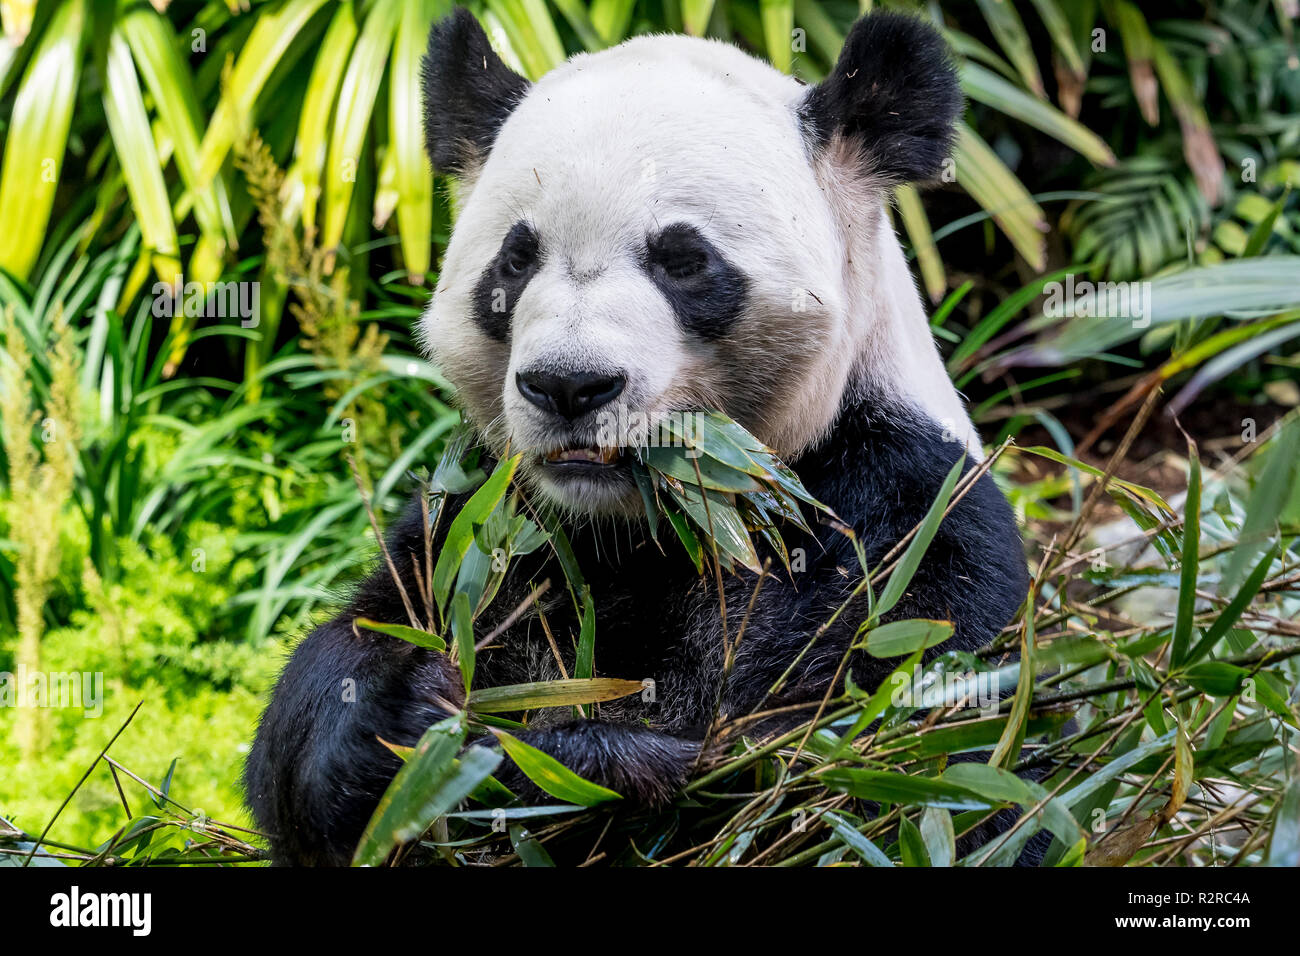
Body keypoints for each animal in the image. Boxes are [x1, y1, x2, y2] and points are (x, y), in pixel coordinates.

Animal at [248, 5, 1029, 868]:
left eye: (684, 260)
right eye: (515, 260)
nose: (569, 384)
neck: (643, 522)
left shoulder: (895, 509)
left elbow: (868, 760)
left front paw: (576, 765)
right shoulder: (492, 521)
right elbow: (344, 671)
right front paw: (409, 722)